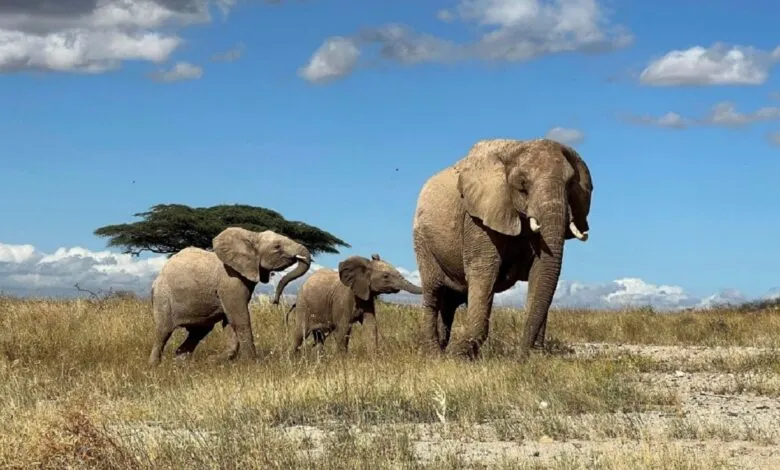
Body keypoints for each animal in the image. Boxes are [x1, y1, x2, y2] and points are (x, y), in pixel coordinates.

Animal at [148, 226, 312, 365]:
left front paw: (217, 360)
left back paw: (181, 364)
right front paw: (252, 363)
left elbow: (230, 321)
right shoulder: (230, 280)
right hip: (163, 296)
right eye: (277, 247)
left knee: (198, 332)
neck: (252, 235)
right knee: (163, 331)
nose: (275, 301)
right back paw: (154, 366)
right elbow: (239, 318)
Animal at [285, 254, 422, 356]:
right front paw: (342, 361)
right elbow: (343, 329)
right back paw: (292, 359)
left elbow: (371, 326)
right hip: (303, 305)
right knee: (300, 333)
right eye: (386, 276)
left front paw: (374, 358)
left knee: (319, 338)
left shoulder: (367, 298)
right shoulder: (343, 299)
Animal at [411, 138, 593, 359]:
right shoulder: (477, 218)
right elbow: (484, 271)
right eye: (522, 185)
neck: (516, 148)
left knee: (450, 301)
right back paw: (434, 354)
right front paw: (459, 355)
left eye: (570, 184)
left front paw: (536, 356)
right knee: (433, 292)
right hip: (422, 240)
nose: (520, 356)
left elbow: (541, 272)